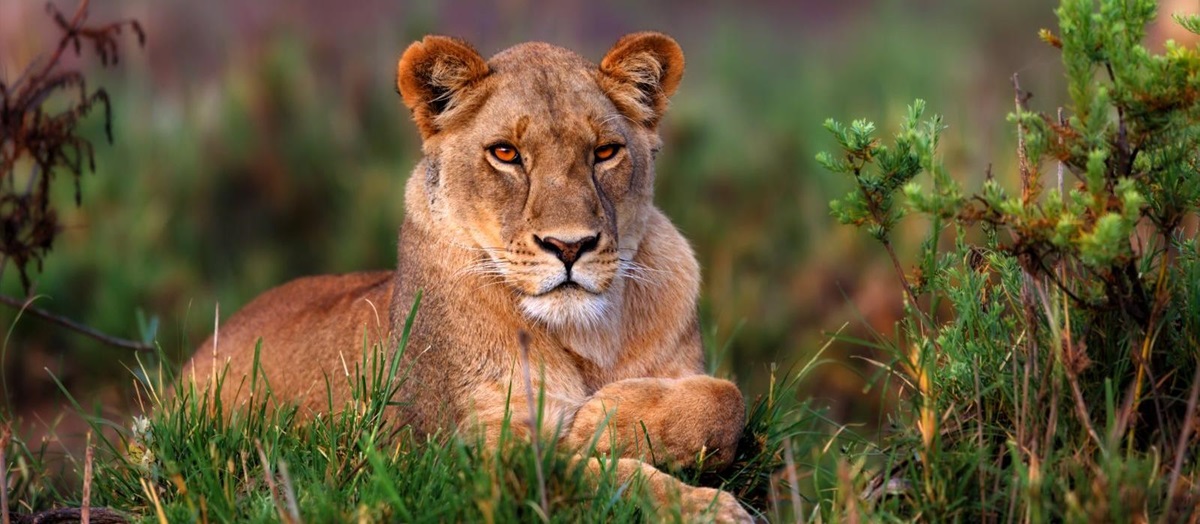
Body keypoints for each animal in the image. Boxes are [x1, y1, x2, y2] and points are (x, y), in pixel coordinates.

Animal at [182, 32, 751, 522]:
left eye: (605, 152)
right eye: (505, 153)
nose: (570, 246)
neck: (588, 335)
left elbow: (727, 402)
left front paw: (603, 419)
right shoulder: (469, 454)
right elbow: (592, 475)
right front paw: (700, 505)